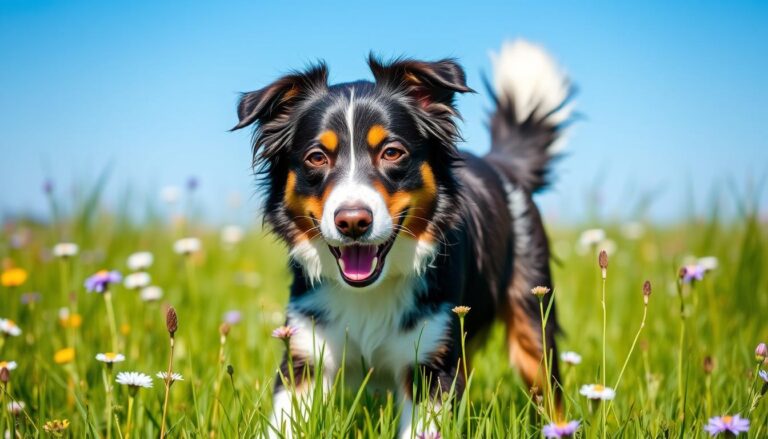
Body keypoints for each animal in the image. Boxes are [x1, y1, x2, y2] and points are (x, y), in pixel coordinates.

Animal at [231, 39, 572, 438]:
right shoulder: (305, 354)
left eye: (392, 152)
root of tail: (502, 165)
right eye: (316, 157)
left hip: (533, 319)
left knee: (551, 391)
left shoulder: (430, 366)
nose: (352, 222)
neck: (368, 295)